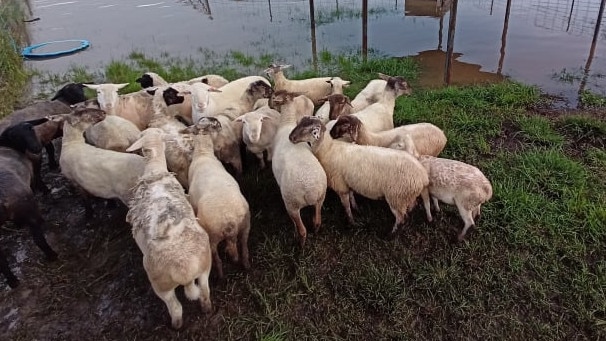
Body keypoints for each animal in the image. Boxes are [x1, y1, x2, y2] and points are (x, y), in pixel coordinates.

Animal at [0, 121, 57, 288]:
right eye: (15, 136)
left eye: (31, 128)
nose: (36, 147)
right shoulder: (32, 175)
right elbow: (38, 181)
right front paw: (45, 190)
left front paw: (17, 224)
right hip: (26, 206)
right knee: (38, 238)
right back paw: (52, 255)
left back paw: (13, 281)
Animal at [126, 127, 214, 326]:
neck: (155, 167)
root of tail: (184, 268)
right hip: (205, 266)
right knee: (205, 292)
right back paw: (207, 309)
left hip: (160, 285)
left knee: (175, 308)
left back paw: (176, 325)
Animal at [180, 118, 252, 278]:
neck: (203, 154)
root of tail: (229, 220)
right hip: (246, 226)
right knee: (244, 248)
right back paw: (246, 266)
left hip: (211, 237)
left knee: (216, 258)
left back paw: (220, 276)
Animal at [272, 91, 328, 244]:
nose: (291, 138)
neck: (287, 122)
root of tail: (310, 191)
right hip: (321, 198)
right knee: (317, 221)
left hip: (292, 204)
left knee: (302, 231)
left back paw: (299, 243)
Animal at [288, 115, 428, 235]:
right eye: (299, 123)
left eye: (308, 129)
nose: (291, 138)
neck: (328, 149)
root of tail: (423, 176)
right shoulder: (347, 182)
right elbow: (351, 197)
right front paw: (356, 209)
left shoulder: (340, 186)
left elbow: (346, 206)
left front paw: (351, 222)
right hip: (406, 196)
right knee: (410, 208)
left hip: (396, 197)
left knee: (400, 219)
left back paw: (391, 234)